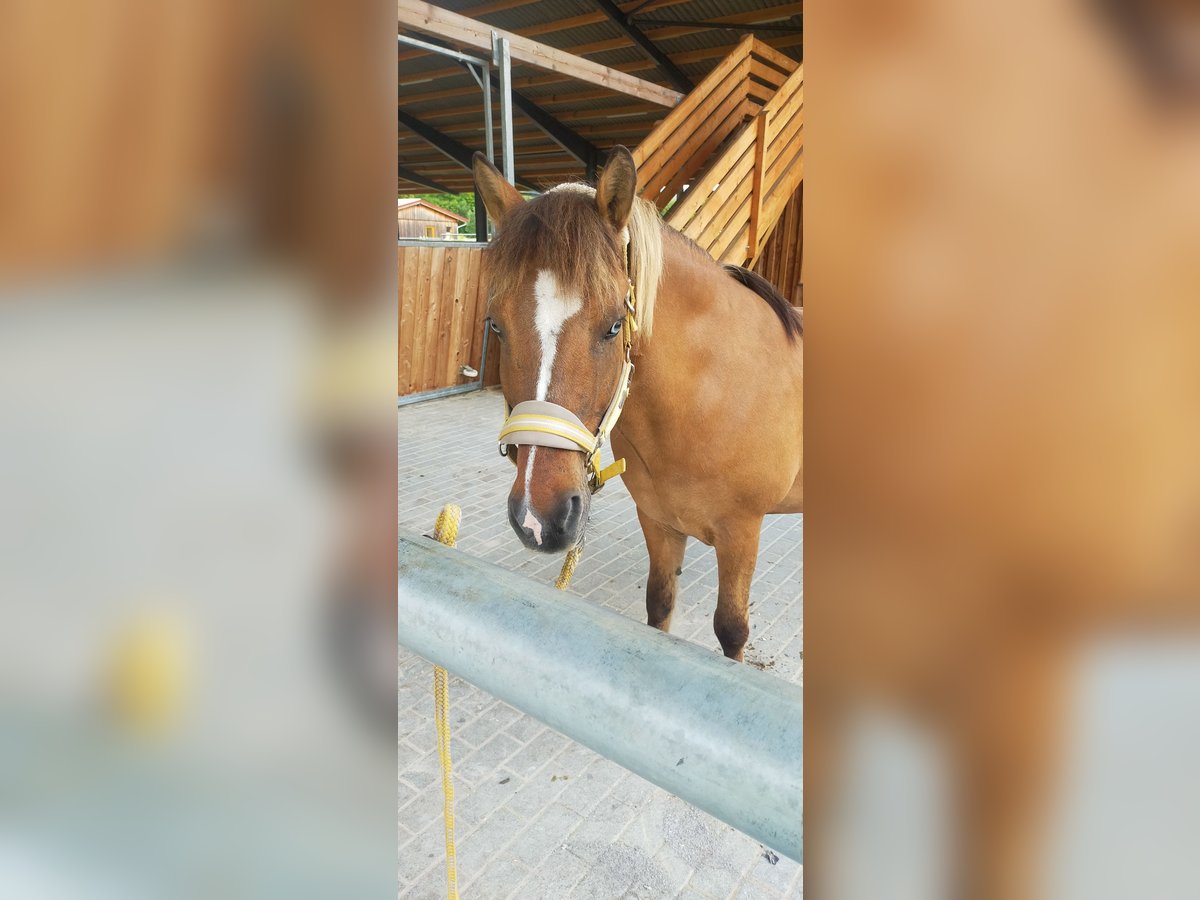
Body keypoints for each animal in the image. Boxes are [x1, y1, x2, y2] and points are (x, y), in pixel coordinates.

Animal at [472, 146, 802, 661]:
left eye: (613, 326)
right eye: (495, 326)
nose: (540, 519)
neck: (709, 396)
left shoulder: (742, 532)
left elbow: (732, 630)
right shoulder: (658, 522)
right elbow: (659, 604)